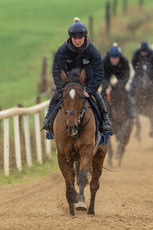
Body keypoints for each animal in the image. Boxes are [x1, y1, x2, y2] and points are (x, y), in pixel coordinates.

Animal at [52, 68, 107, 216]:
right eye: (64, 96)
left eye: (81, 97)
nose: (71, 126)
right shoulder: (62, 154)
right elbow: (68, 179)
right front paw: (73, 201)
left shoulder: (87, 150)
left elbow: (82, 177)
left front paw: (81, 202)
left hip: (99, 154)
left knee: (94, 183)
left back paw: (91, 209)